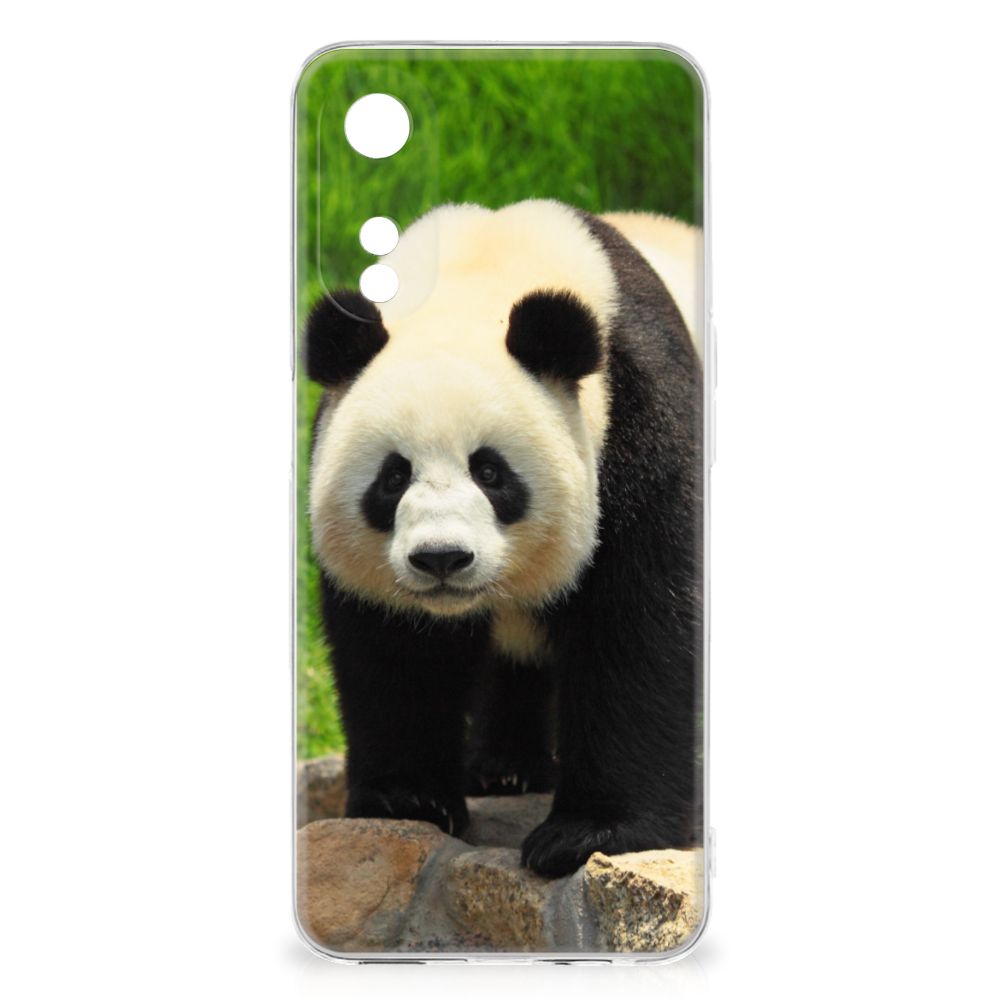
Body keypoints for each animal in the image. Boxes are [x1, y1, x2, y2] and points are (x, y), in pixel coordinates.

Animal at [304, 199, 703, 877]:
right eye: (393, 477)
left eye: (490, 472)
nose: (441, 558)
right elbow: (393, 650)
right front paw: (407, 799)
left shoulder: (640, 420)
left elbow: (639, 624)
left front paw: (588, 833)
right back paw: (504, 769)